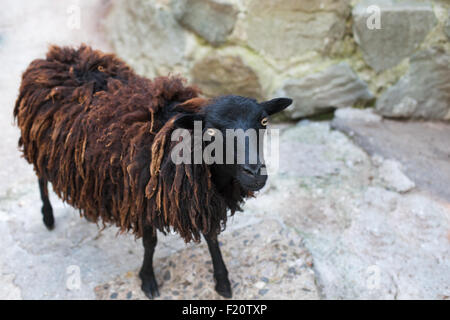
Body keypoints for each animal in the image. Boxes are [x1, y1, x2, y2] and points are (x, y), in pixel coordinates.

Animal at [13, 43, 292, 298]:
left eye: (263, 121)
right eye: (211, 132)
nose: (255, 172)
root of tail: (57, 54)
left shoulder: (204, 200)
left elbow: (212, 237)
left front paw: (222, 282)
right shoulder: (141, 197)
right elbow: (150, 243)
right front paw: (147, 279)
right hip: (40, 144)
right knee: (40, 178)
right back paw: (47, 216)